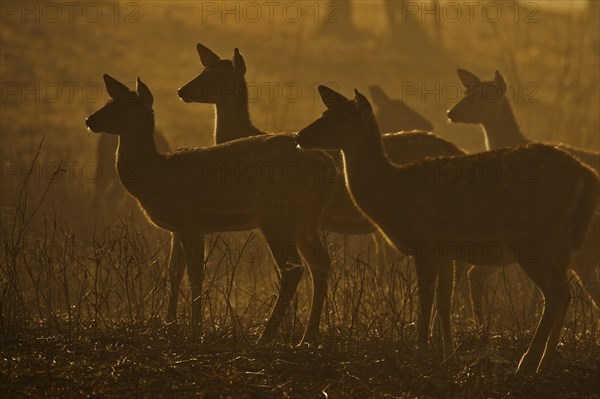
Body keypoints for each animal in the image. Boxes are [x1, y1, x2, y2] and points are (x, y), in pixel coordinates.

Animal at [85, 75, 340, 346]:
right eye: (109, 101)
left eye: (125, 105)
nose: (90, 120)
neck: (154, 174)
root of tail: (328, 165)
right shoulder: (177, 228)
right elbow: (173, 272)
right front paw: (169, 324)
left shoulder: (190, 221)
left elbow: (195, 274)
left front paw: (195, 329)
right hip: (306, 219)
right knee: (320, 262)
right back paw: (308, 337)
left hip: (277, 214)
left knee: (294, 268)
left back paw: (265, 337)